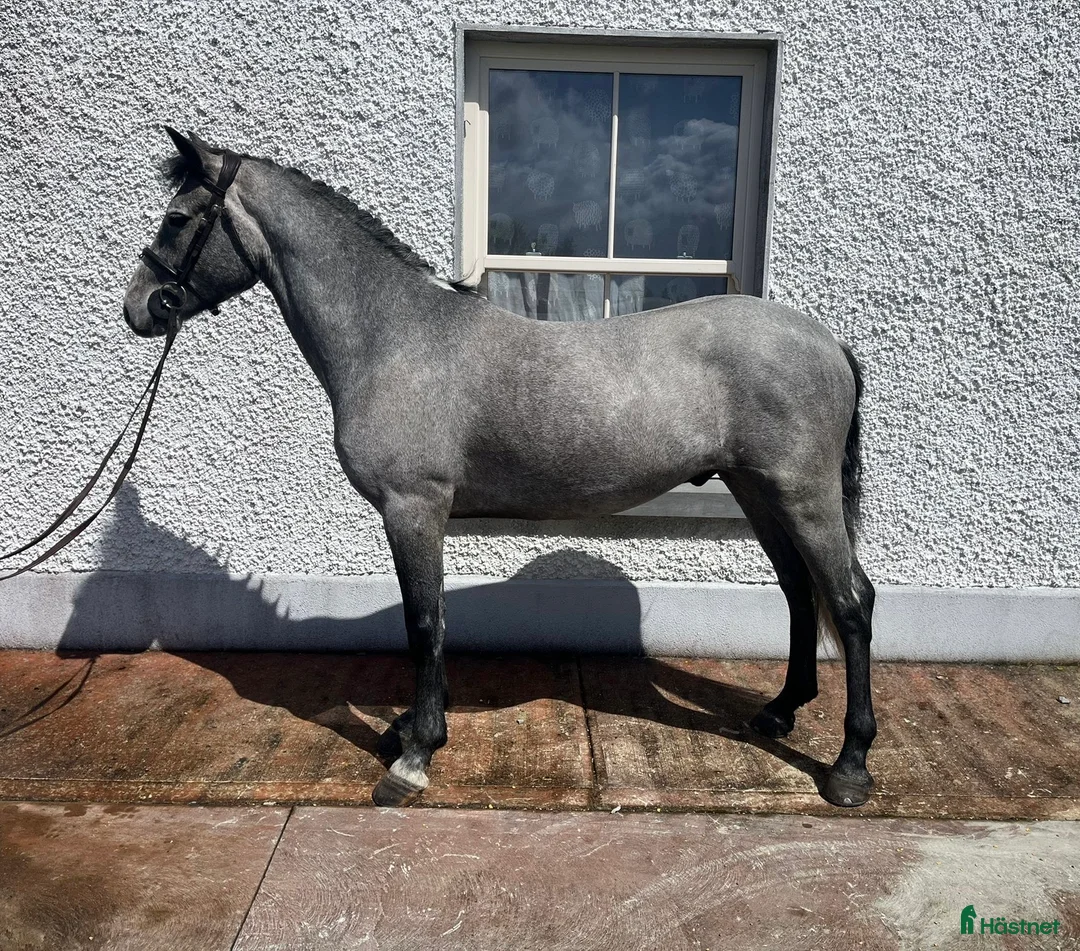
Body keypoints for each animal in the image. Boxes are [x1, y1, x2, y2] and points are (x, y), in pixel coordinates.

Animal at [123, 128, 878, 809]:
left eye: (178, 217)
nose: (138, 308)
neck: (394, 336)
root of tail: (828, 342)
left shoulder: (412, 507)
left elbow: (423, 623)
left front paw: (415, 756)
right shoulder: (419, 515)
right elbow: (428, 616)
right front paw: (411, 728)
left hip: (801, 493)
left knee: (849, 602)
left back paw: (849, 767)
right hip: (757, 490)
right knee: (800, 591)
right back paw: (779, 711)